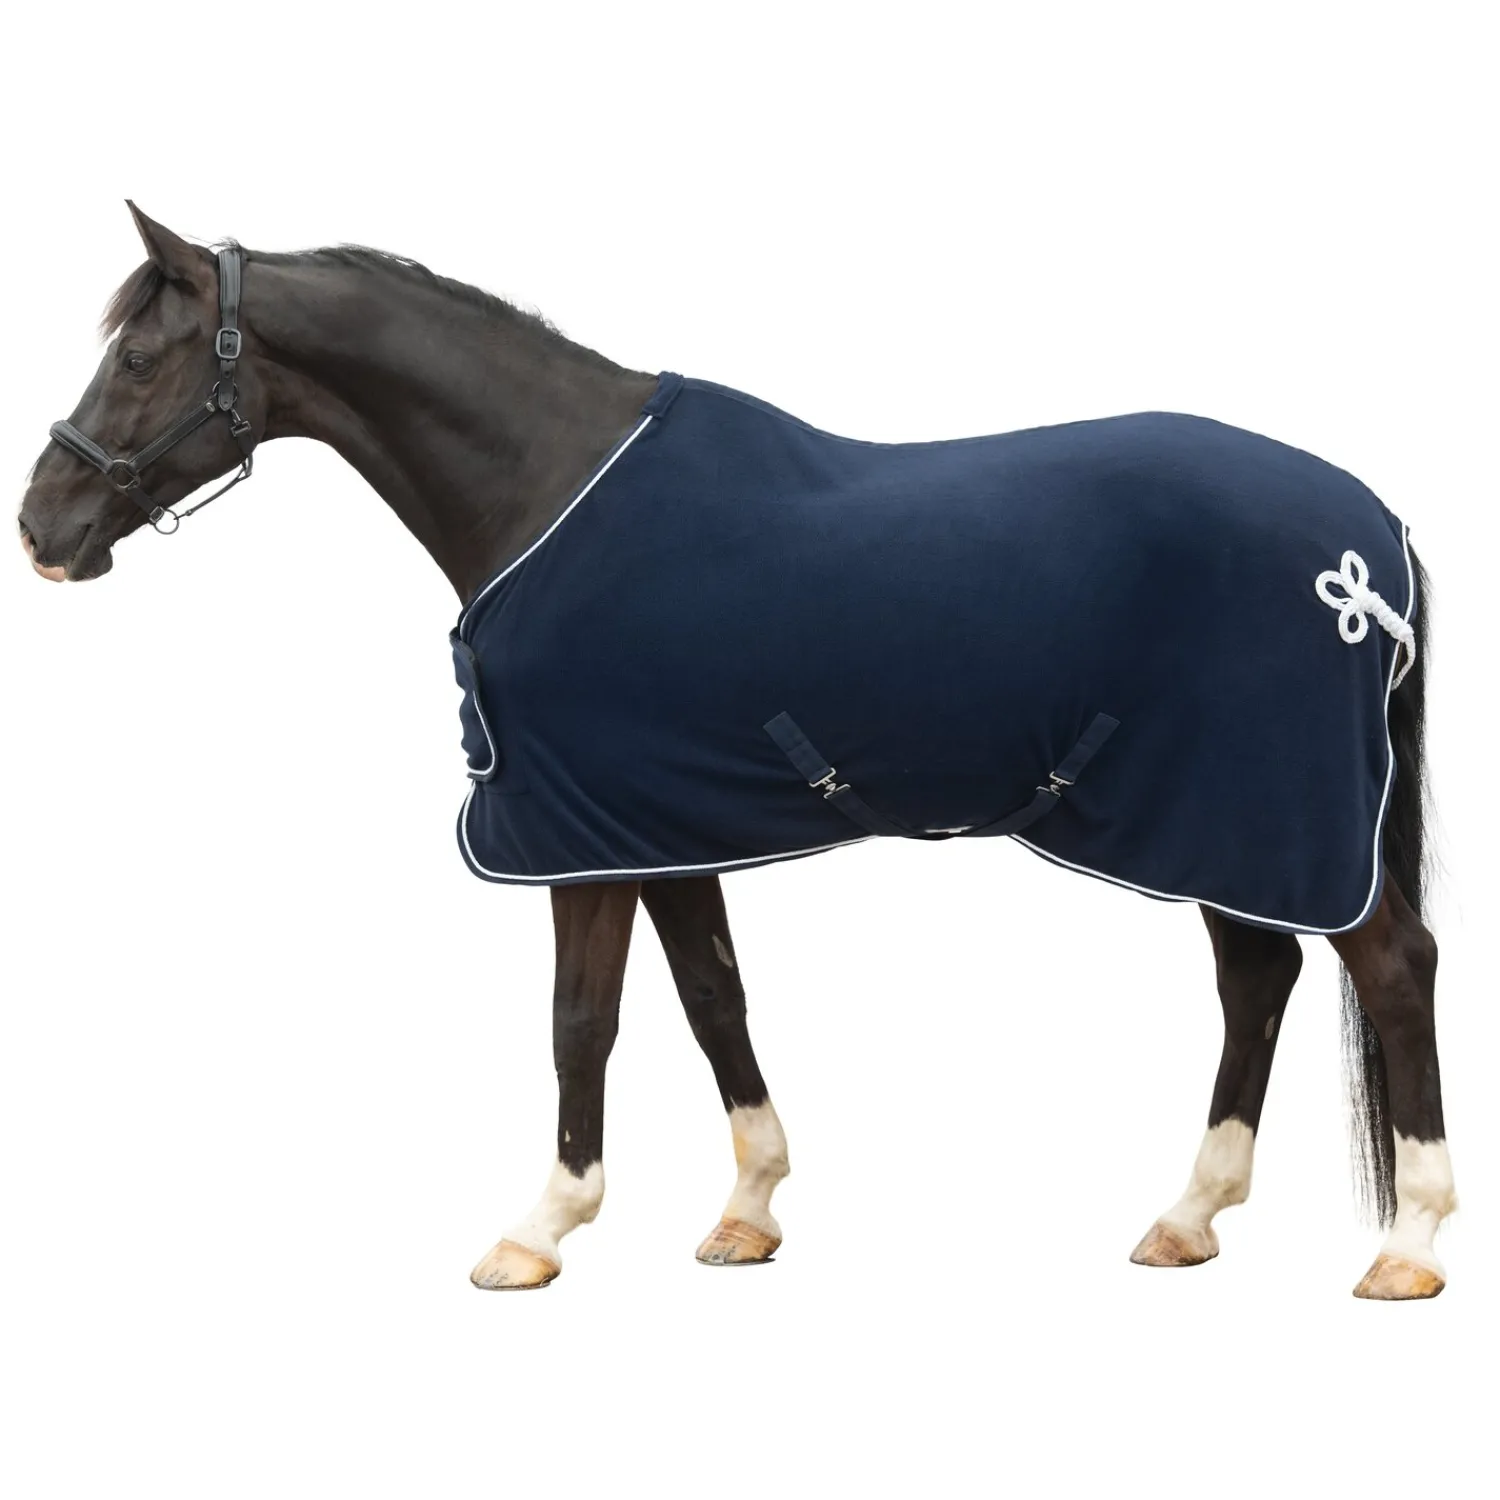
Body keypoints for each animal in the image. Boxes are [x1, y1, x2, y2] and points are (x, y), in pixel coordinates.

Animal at [20, 203, 1455, 1300]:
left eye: (138, 356)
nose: (44, 524)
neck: (549, 487)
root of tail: (1368, 538)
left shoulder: (579, 836)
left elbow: (581, 1020)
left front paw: (538, 1231)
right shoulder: (655, 820)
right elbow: (713, 997)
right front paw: (749, 1211)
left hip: (1265, 811)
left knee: (1389, 967)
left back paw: (1409, 1244)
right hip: (1221, 818)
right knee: (1258, 977)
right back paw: (1188, 1218)